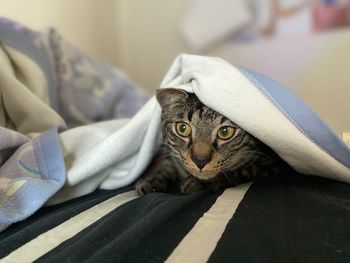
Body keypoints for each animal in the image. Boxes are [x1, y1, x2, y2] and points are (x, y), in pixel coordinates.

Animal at [135, 88, 288, 196]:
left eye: (225, 132)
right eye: (183, 128)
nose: (200, 161)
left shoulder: (270, 164)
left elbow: (240, 171)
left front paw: (196, 183)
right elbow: (168, 165)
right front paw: (151, 180)